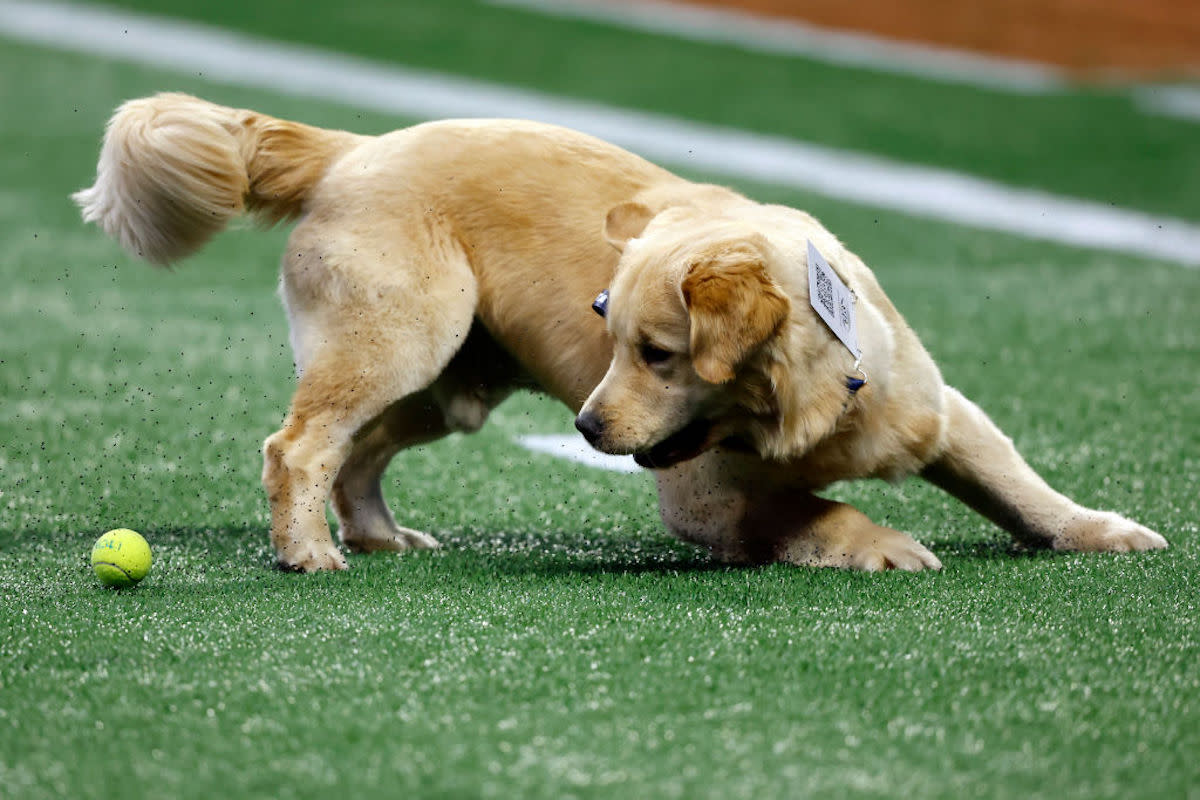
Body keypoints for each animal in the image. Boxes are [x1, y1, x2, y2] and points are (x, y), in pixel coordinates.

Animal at [72, 92, 1161, 568]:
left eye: (658, 351)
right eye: (610, 329)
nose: (588, 428)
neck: (814, 403)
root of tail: (354, 146)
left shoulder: (940, 415)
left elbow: (1022, 488)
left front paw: (1099, 530)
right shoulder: (704, 496)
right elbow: (810, 509)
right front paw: (881, 542)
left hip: (447, 382)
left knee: (354, 454)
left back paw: (378, 535)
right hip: (400, 343)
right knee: (297, 445)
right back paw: (307, 551)